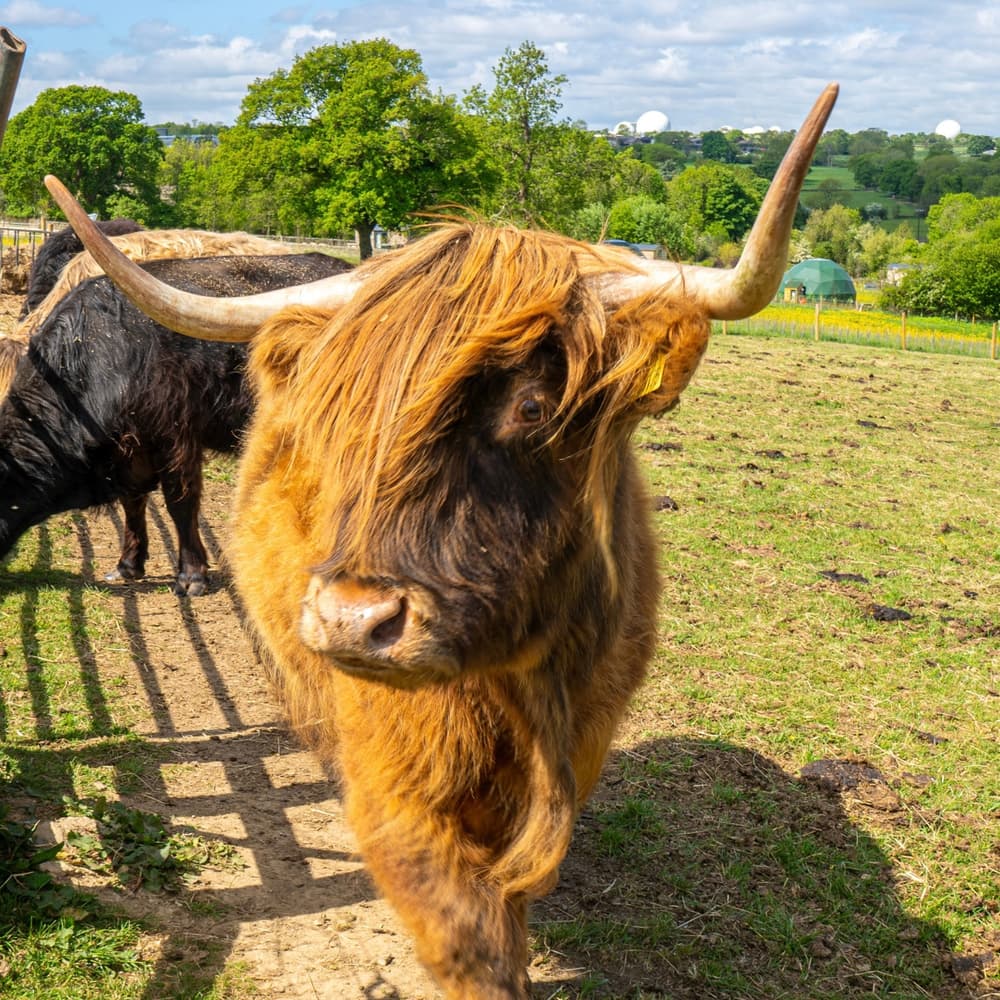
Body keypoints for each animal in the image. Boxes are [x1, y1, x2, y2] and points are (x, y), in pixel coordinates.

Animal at [0, 251, 353, 595]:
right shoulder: (131, 450)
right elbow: (133, 502)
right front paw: (128, 564)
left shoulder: (175, 438)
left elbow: (180, 501)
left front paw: (191, 574)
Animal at [49, 85, 837, 998]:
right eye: (336, 414)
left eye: (531, 407)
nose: (352, 622)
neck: (519, 685)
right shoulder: (397, 784)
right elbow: (467, 936)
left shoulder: (583, 742)